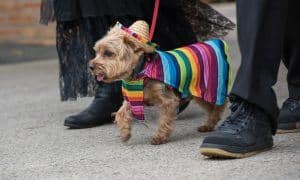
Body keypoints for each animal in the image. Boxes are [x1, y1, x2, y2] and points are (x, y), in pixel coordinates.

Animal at [89, 21, 230, 145]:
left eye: (108, 53)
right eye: (97, 52)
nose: (90, 66)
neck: (140, 73)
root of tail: (216, 43)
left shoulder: (168, 101)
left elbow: (164, 120)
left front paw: (160, 137)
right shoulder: (132, 98)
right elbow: (121, 113)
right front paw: (125, 133)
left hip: (209, 87)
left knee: (220, 105)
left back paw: (212, 121)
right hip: (196, 91)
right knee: (212, 107)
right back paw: (209, 124)